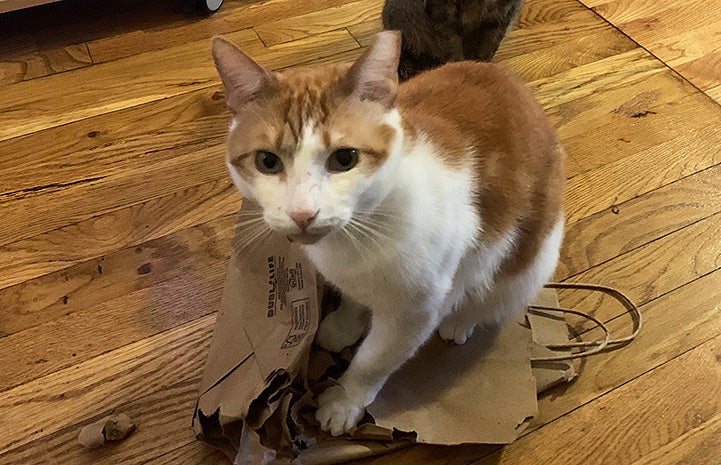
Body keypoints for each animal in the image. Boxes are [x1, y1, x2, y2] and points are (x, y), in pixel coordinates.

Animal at [211, 31, 564, 436]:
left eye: (344, 159)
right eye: (267, 161)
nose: (303, 213)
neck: (357, 235)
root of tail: (508, 76)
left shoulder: (415, 313)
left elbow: (372, 361)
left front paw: (345, 401)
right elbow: (352, 301)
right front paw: (344, 325)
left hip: (531, 262)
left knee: (491, 293)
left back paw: (462, 319)